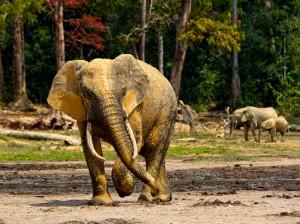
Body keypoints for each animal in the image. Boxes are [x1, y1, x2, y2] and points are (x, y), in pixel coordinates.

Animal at [47, 54, 178, 205]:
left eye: (123, 92)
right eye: (87, 94)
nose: (154, 190)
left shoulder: (134, 107)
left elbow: (135, 139)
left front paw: (126, 190)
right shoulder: (82, 110)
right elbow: (91, 147)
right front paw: (101, 202)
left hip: (167, 112)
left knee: (153, 148)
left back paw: (146, 198)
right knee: (155, 152)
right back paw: (161, 197)